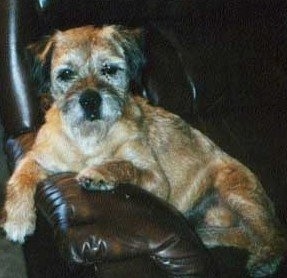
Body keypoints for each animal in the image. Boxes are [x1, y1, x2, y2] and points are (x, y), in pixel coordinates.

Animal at [2, 25, 287, 276]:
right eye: (66, 74)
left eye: (109, 69)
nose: (90, 100)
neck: (91, 136)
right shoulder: (39, 157)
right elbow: (20, 175)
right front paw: (17, 220)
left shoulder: (156, 179)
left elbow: (124, 165)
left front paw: (97, 174)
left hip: (237, 192)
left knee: (273, 235)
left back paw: (265, 260)